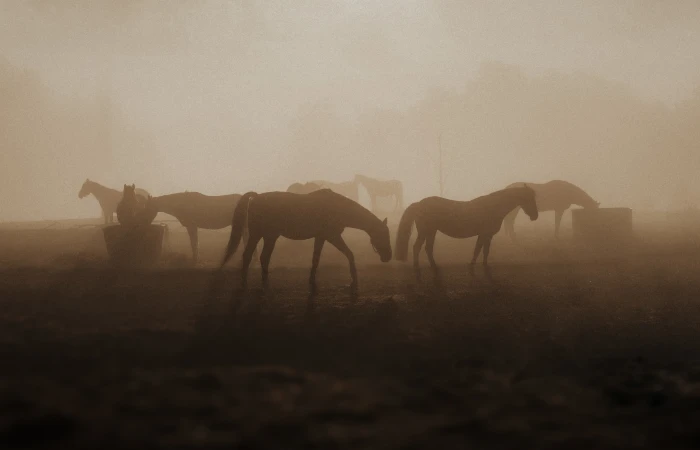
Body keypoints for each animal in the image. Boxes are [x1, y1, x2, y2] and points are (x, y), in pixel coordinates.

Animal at [396, 185, 540, 284]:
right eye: (529, 198)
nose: (535, 216)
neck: (493, 207)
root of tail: (419, 204)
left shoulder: (485, 235)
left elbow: (481, 250)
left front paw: (477, 265)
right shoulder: (485, 234)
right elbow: (481, 250)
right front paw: (478, 267)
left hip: (431, 231)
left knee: (427, 248)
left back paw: (433, 266)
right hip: (426, 231)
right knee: (417, 247)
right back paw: (417, 267)